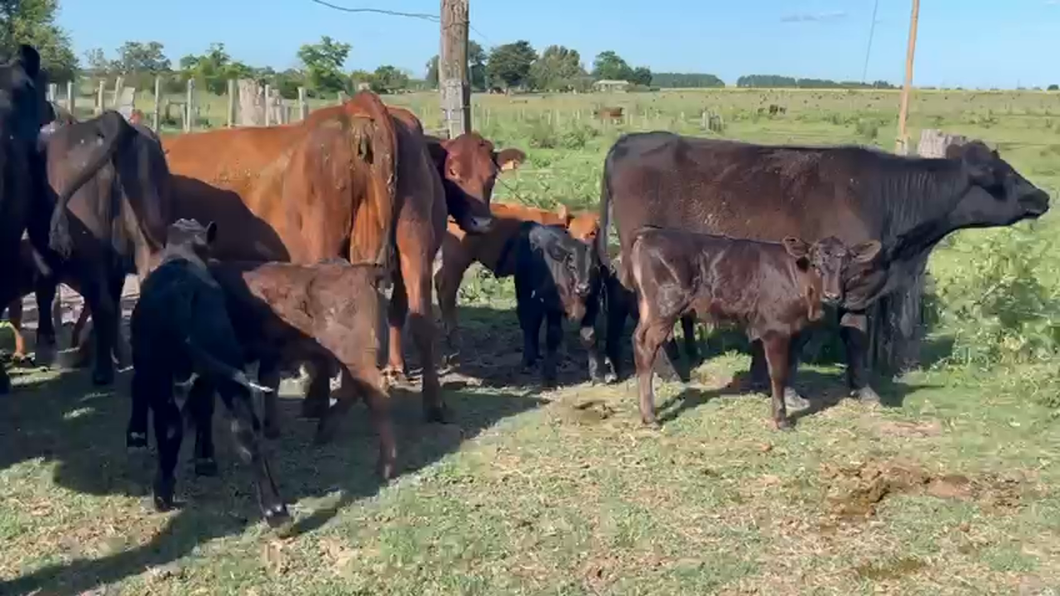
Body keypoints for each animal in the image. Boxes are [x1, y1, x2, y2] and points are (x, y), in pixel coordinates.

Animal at [128, 218, 290, 523]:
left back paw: (162, 493)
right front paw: (205, 458)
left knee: (170, 425)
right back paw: (275, 509)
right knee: (246, 431)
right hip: (226, 364)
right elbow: (203, 408)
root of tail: (184, 292)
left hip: (159, 370)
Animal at [513, 220, 606, 388]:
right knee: (527, 319)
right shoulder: (552, 305)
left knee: (535, 319)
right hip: (523, 286)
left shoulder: (593, 304)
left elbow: (588, 336)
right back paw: (528, 361)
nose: (583, 288)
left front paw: (597, 374)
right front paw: (549, 376)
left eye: (594, 268)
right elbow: (553, 336)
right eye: (571, 266)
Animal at [597, 132, 1051, 402]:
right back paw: (670, 373)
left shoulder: (856, 287)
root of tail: (632, 139)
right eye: (1004, 174)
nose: (1044, 195)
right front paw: (792, 390)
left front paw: (858, 390)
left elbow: (848, 335)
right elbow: (819, 340)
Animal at [623, 225, 881, 426]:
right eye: (816, 265)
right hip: (665, 306)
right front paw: (781, 419)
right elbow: (777, 373)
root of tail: (648, 233)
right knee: (647, 344)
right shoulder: (775, 328)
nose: (833, 295)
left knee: (637, 339)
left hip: (649, 307)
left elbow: (789, 367)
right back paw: (650, 417)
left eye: (845, 268)